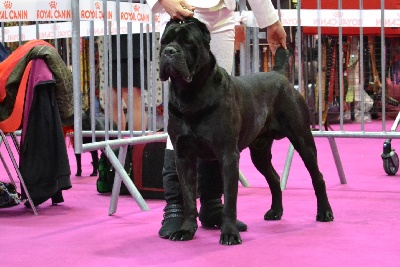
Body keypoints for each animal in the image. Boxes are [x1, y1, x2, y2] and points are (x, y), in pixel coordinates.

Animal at [159, 17, 334, 246]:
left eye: (188, 43)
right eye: (164, 41)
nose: (169, 52)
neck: (190, 93)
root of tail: (279, 74)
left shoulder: (227, 155)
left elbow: (230, 200)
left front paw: (229, 233)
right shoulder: (183, 156)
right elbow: (188, 198)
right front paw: (186, 230)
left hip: (303, 140)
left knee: (317, 176)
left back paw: (325, 212)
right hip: (259, 152)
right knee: (274, 178)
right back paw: (275, 211)